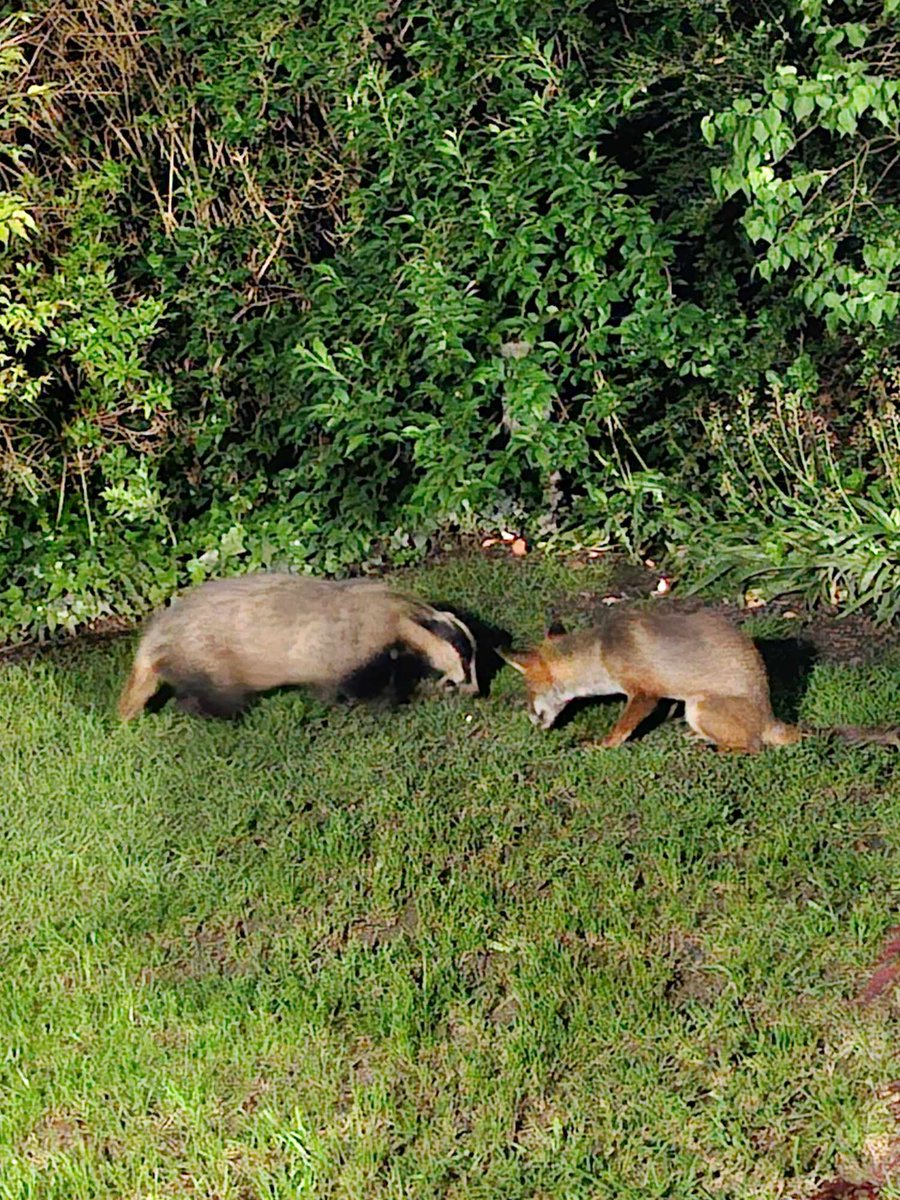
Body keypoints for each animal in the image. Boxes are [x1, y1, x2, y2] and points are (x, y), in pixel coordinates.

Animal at [120, 573, 480, 720]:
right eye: (464, 658)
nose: (473, 689)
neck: (392, 613)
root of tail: (151, 642)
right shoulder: (349, 648)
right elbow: (356, 688)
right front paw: (395, 701)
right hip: (207, 660)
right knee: (219, 697)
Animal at [501, 609, 900, 748]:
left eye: (529, 690)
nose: (531, 721)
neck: (602, 652)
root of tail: (770, 716)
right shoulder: (661, 696)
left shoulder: (644, 693)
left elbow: (621, 730)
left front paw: (600, 746)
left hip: (700, 706)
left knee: (753, 747)